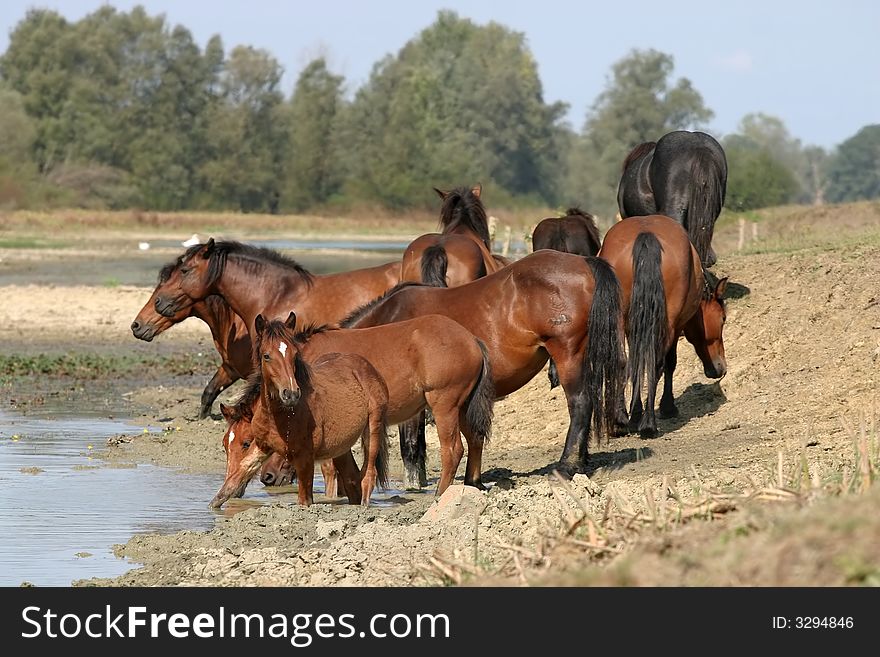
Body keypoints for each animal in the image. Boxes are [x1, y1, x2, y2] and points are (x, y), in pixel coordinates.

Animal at [600, 215, 728, 438]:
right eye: (723, 319)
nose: (721, 367)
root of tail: (646, 236)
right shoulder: (677, 326)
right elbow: (669, 363)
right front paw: (667, 408)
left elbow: (634, 364)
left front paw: (634, 413)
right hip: (667, 324)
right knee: (656, 363)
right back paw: (648, 424)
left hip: (618, 319)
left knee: (622, 360)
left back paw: (621, 420)